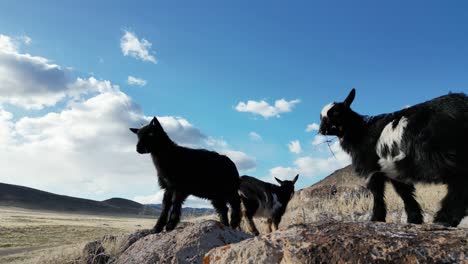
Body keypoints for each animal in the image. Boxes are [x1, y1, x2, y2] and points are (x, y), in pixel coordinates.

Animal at [318, 89, 468, 227]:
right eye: (321, 117)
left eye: (336, 113)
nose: (321, 129)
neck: (361, 132)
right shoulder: (393, 169)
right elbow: (404, 193)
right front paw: (414, 219)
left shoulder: (372, 169)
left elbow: (377, 193)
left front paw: (376, 218)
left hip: (439, 156)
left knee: (459, 181)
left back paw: (444, 218)